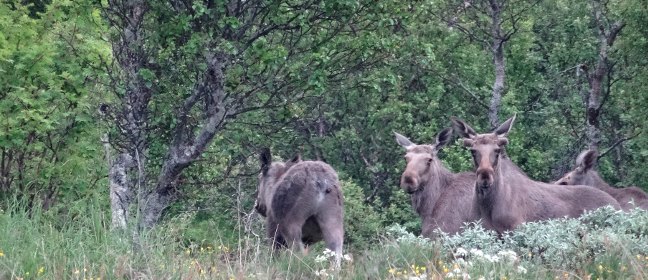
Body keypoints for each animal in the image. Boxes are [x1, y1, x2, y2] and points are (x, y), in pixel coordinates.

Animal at [450, 114, 624, 234]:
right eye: (473, 151)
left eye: (497, 150)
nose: (485, 177)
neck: (487, 206)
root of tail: (617, 206)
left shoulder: (515, 229)